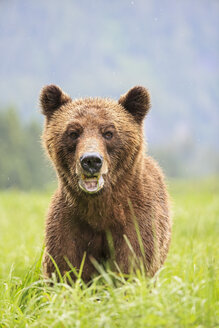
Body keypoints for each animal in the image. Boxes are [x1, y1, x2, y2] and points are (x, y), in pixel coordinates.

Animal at [40, 84, 172, 282]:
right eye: (73, 132)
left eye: (109, 133)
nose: (91, 160)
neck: (101, 210)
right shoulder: (68, 225)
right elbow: (66, 268)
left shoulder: (138, 222)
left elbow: (132, 265)